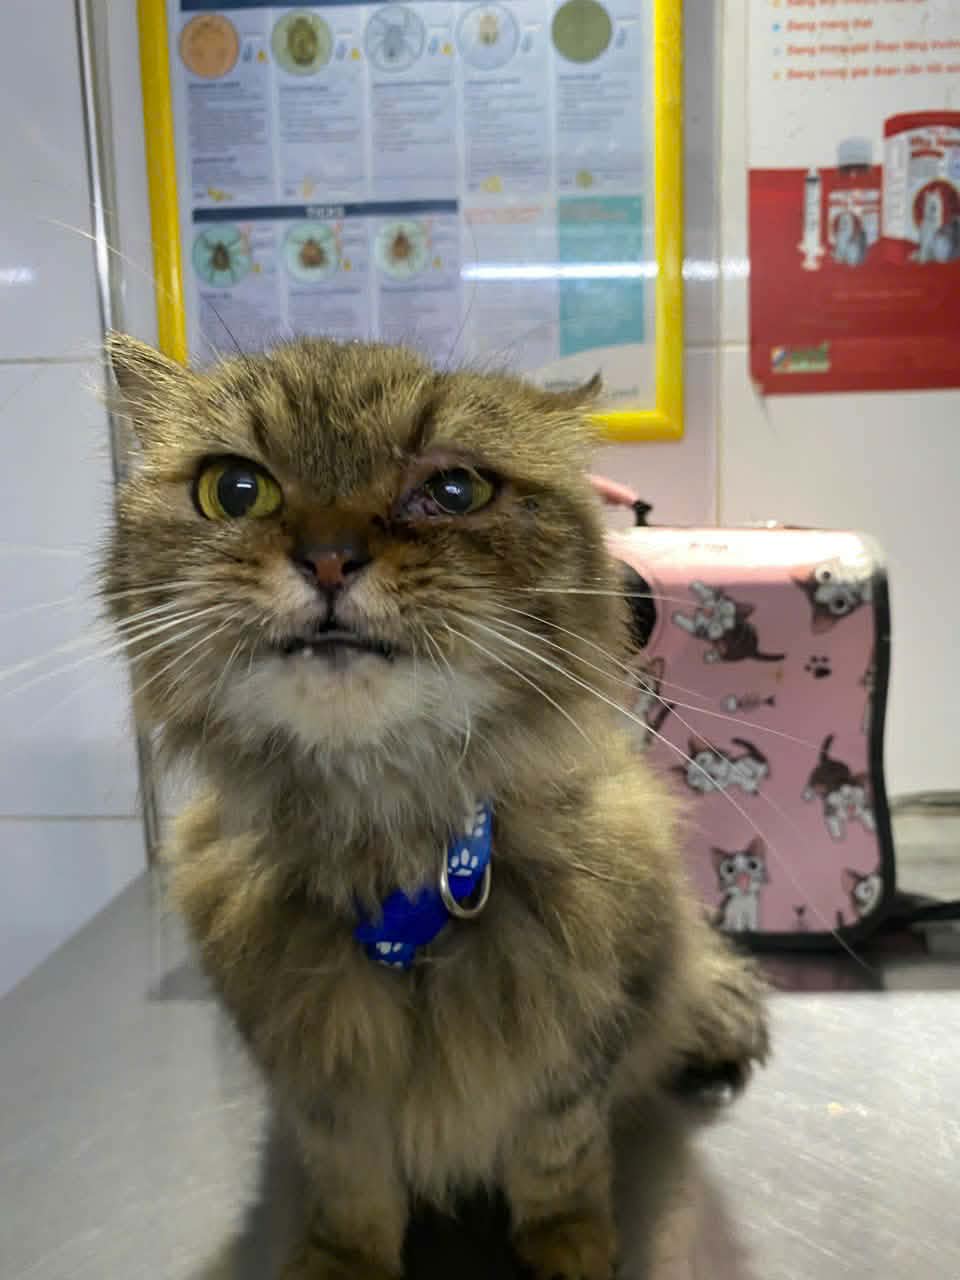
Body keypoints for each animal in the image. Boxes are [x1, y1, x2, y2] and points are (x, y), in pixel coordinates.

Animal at [103, 334, 767, 1280]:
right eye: (236, 490)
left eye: (454, 491)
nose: (330, 557)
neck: (389, 843)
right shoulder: (323, 1081)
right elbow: (351, 1180)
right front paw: (345, 1260)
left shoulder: (577, 1045)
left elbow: (559, 1154)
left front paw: (568, 1246)